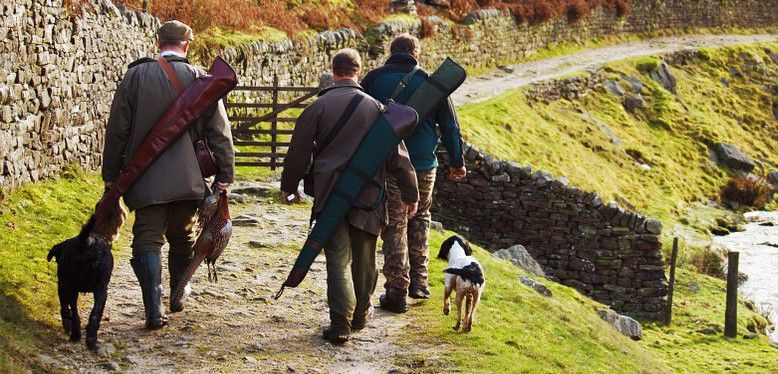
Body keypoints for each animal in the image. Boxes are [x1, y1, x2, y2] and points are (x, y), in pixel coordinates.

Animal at [47, 206, 123, 352]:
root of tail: (86, 241)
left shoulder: (64, 286)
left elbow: (66, 308)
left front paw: (67, 324)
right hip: (100, 290)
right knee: (94, 315)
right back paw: (91, 339)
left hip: (68, 285)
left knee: (74, 312)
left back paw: (75, 333)